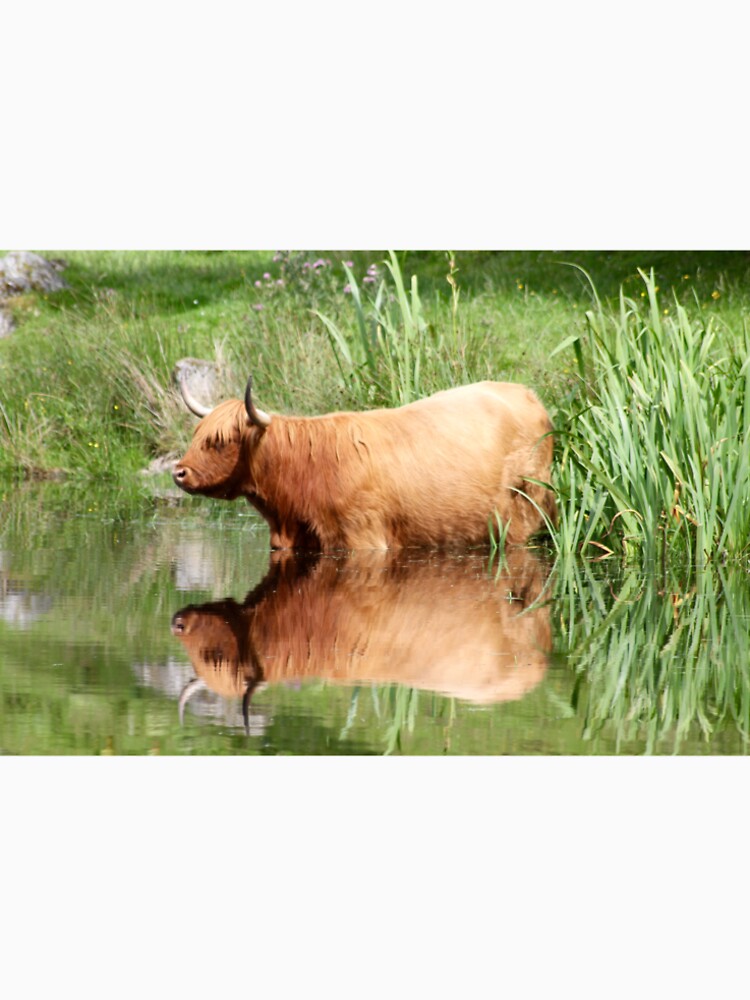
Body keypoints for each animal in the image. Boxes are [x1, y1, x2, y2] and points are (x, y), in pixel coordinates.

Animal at [173, 374, 556, 551]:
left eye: (220, 441)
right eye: (196, 435)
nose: (178, 472)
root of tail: (527, 394)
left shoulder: (363, 538)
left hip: (525, 512)